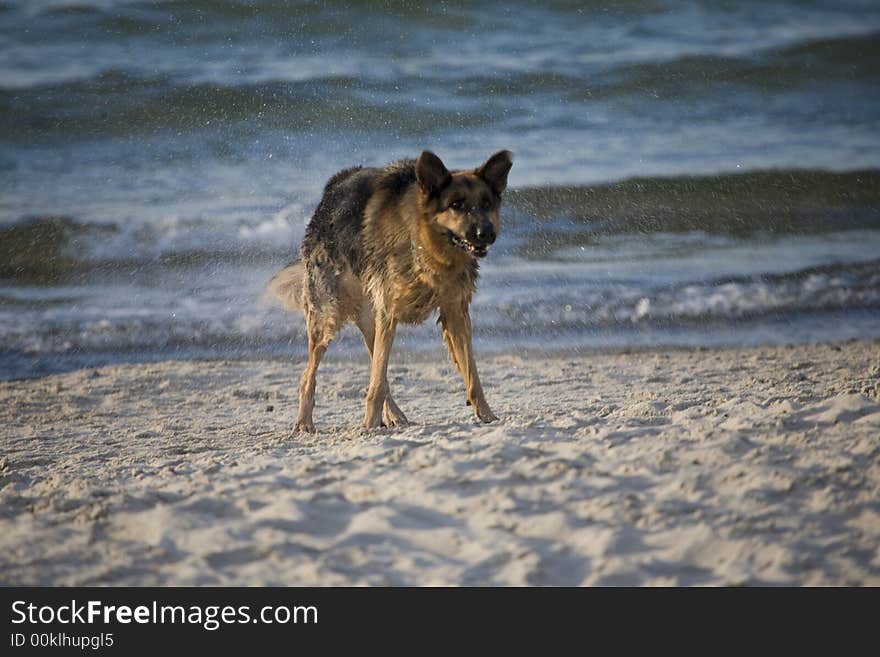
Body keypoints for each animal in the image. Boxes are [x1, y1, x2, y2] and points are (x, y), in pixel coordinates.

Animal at [268, 151, 516, 434]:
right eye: (456, 205)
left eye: (486, 204)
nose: (487, 234)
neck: (425, 245)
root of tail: (331, 189)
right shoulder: (388, 313)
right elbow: (376, 381)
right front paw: (368, 423)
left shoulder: (455, 314)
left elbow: (472, 375)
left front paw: (487, 416)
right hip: (329, 314)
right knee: (310, 373)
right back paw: (304, 421)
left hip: (369, 319)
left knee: (377, 365)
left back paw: (395, 415)